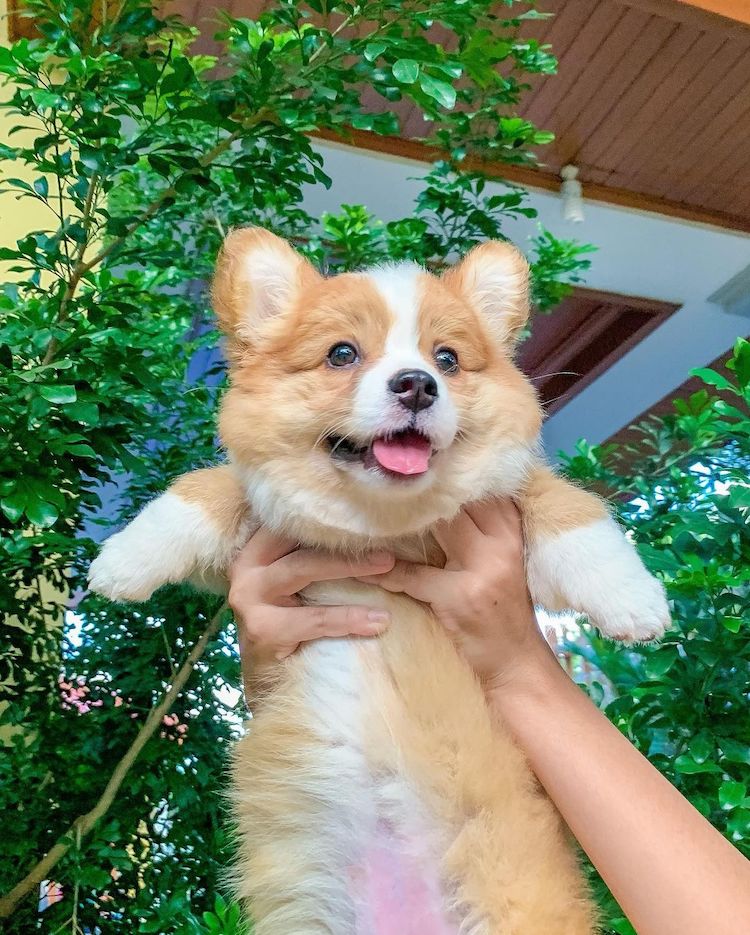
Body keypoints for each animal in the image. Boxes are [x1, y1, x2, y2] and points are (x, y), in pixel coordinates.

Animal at [91, 227, 672, 935]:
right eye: (342, 354)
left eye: (447, 359)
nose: (417, 384)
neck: (382, 529)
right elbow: (206, 488)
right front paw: (123, 560)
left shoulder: (509, 501)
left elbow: (568, 507)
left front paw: (634, 600)